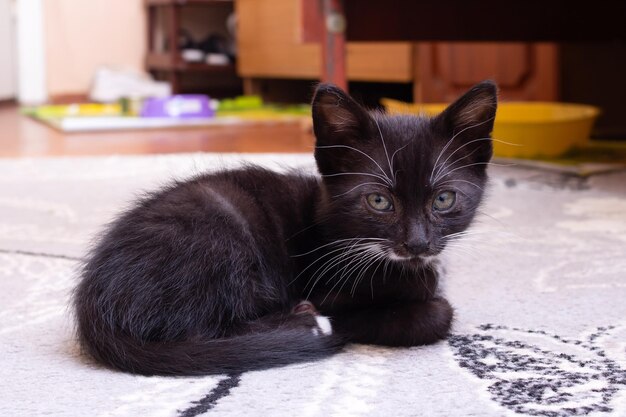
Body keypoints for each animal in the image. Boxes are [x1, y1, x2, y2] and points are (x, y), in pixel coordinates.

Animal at [70, 80, 494, 374]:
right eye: (378, 202)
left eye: (444, 200)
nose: (418, 244)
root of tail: (92, 308)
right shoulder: (327, 284)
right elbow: (435, 311)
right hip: (218, 235)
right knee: (195, 332)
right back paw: (304, 323)